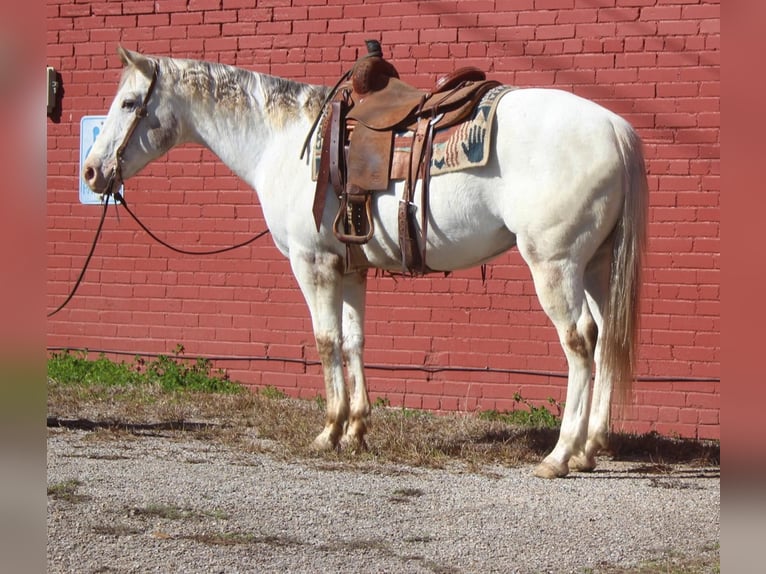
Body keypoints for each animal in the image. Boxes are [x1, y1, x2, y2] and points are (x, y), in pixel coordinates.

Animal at [82, 47, 648, 480]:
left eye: (129, 102)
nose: (91, 172)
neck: (283, 143)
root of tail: (616, 129)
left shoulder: (312, 263)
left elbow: (325, 340)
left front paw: (329, 430)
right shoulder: (350, 267)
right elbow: (354, 340)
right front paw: (356, 429)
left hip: (554, 264)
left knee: (579, 342)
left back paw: (560, 455)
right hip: (594, 265)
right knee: (605, 338)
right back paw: (591, 448)